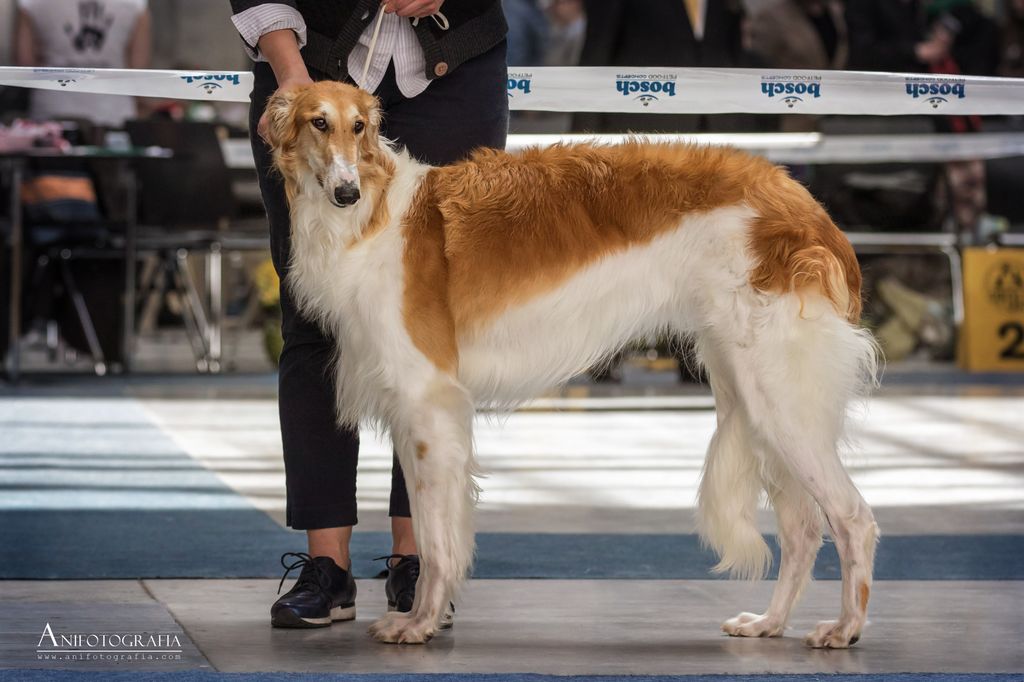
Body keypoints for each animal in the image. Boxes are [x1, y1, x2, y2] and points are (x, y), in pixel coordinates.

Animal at [264, 80, 880, 647]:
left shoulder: (428, 403)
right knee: (804, 528)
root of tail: (807, 207)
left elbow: (438, 543)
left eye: (358, 127)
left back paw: (845, 629)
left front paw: (419, 622)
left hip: (778, 396)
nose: (345, 191)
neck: (375, 216)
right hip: (753, 396)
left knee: (852, 516)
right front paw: (423, 617)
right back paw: (769, 623)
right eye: (318, 123)